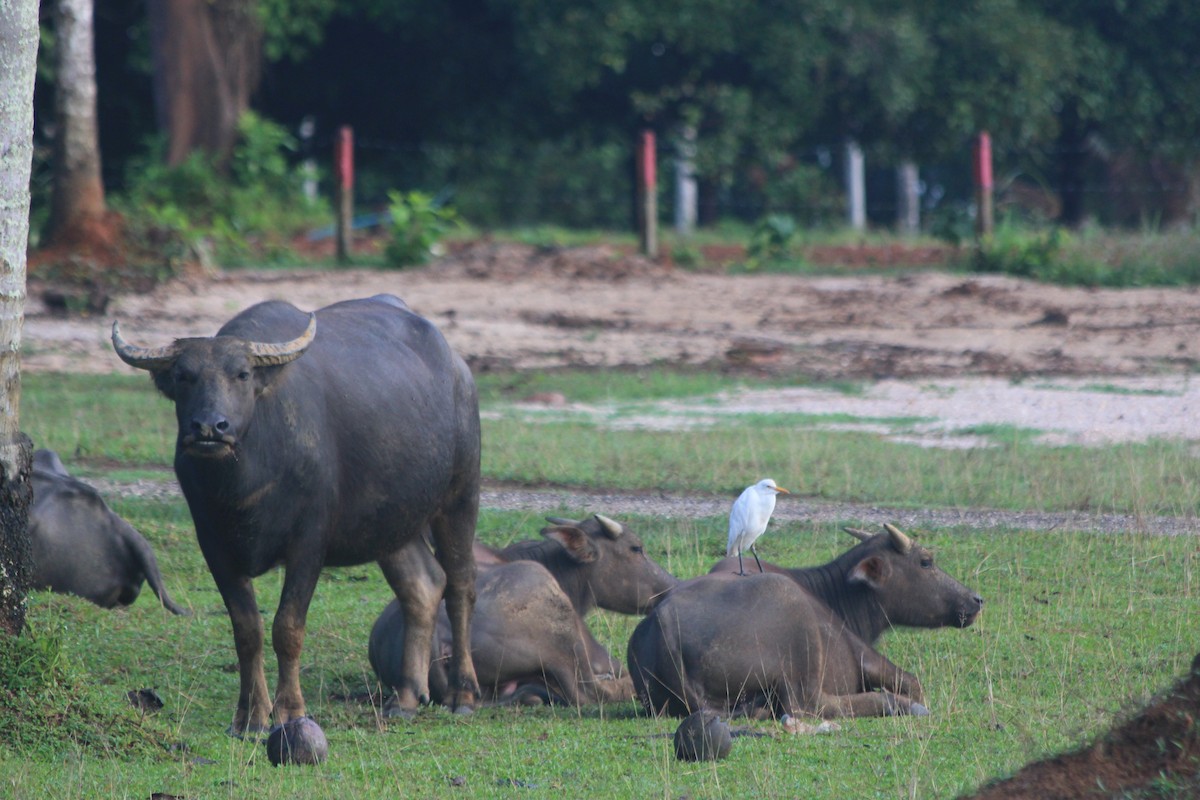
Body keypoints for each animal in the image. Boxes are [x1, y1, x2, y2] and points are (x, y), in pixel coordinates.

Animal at [111, 293, 477, 734]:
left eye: (242, 374)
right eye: (184, 376)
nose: (210, 427)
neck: (245, 487)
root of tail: (457, 368)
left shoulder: (308, 543)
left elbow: (287, 627)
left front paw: (289, 710)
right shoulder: (214, 545)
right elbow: (246, 630)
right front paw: (250, 717)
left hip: (460, 495)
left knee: (460, 586)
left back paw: (462, 695)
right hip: (391, 524)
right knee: (422, 586)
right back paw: (406, 696)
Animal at [369, 513, 681, 705]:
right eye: (636, 548)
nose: (672, 585)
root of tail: (436, 639)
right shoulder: (597, 655)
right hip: (566, 644)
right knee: (593, 691)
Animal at [628, 525, 984, 719]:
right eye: (926, 561)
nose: (976, 599)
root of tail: (664, 627)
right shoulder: (862, 654)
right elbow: (913, 683)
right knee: (808, 705)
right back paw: (895, 704)